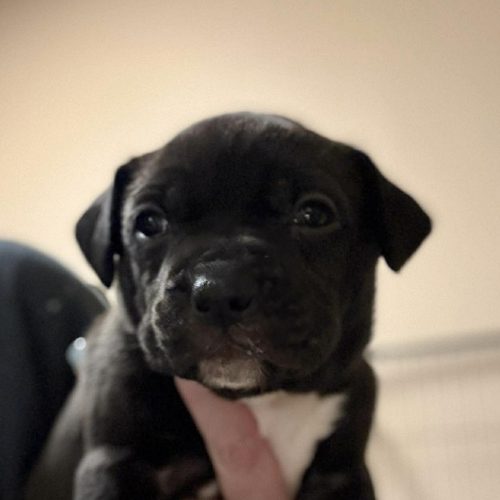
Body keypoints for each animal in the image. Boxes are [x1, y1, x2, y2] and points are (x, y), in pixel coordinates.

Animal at [27, 112, 431, 499]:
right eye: (149, 223)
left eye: (314, 215)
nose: (219, 287)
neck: (262, 399)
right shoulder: (116, 463)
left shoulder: (341, 474)